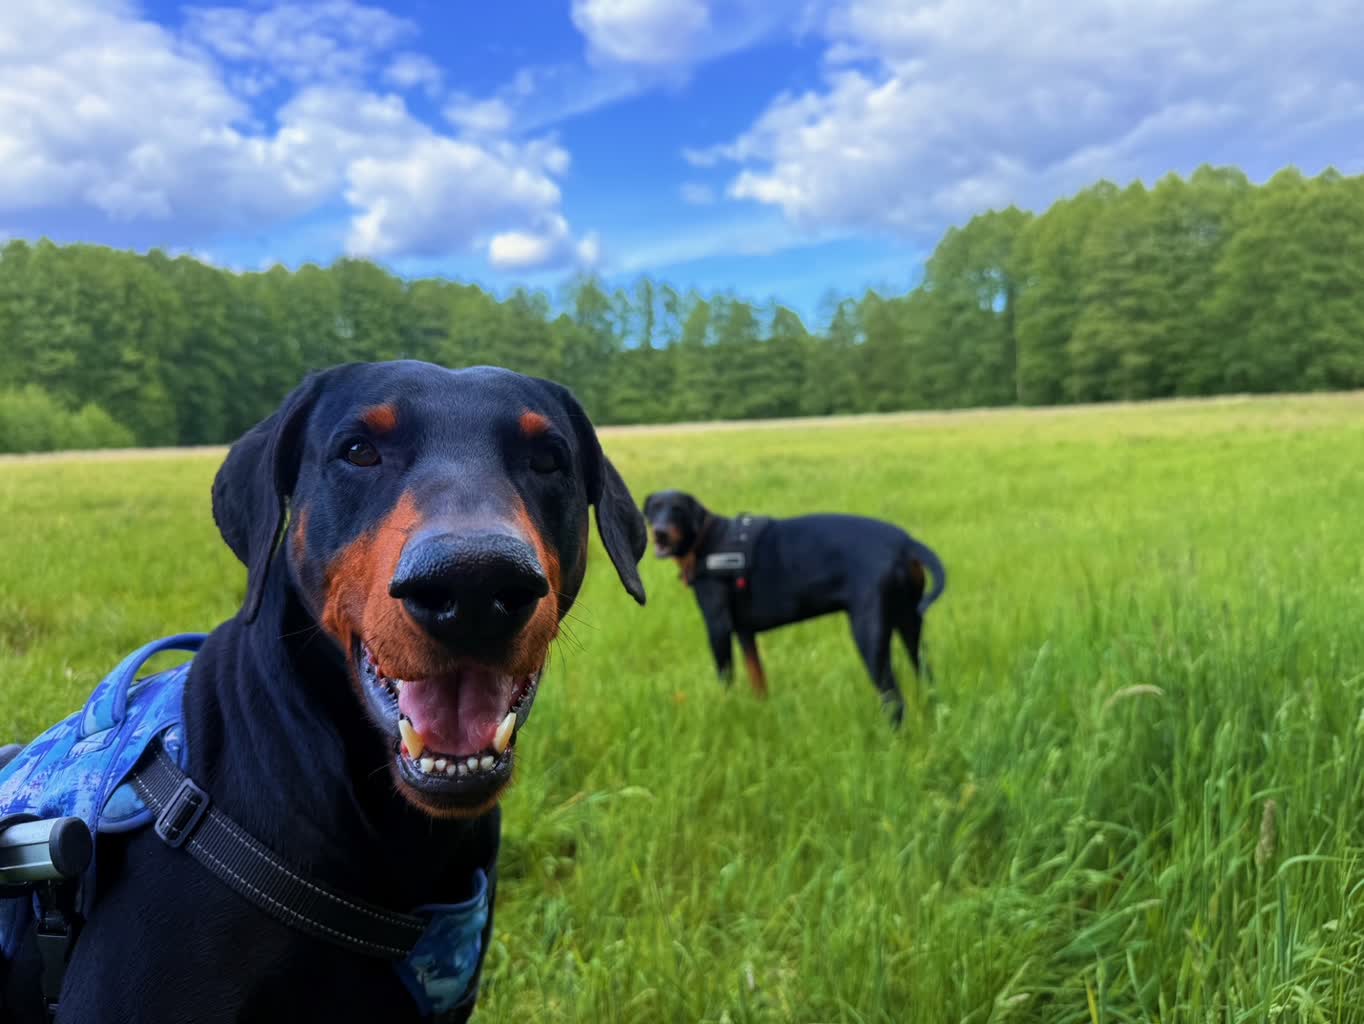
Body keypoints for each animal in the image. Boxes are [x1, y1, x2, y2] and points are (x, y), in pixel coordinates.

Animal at [642, 490, 944, 725]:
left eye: (677, 509)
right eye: (654, 509)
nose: (660, 533)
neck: (707, 541)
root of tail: (905, 542)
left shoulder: (717, 629)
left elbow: (726, 681)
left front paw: (728, 712)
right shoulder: (745, 633)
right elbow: (758, 679)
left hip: (870, 633)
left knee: (894, 699)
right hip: (910, 625)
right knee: (927, 675)